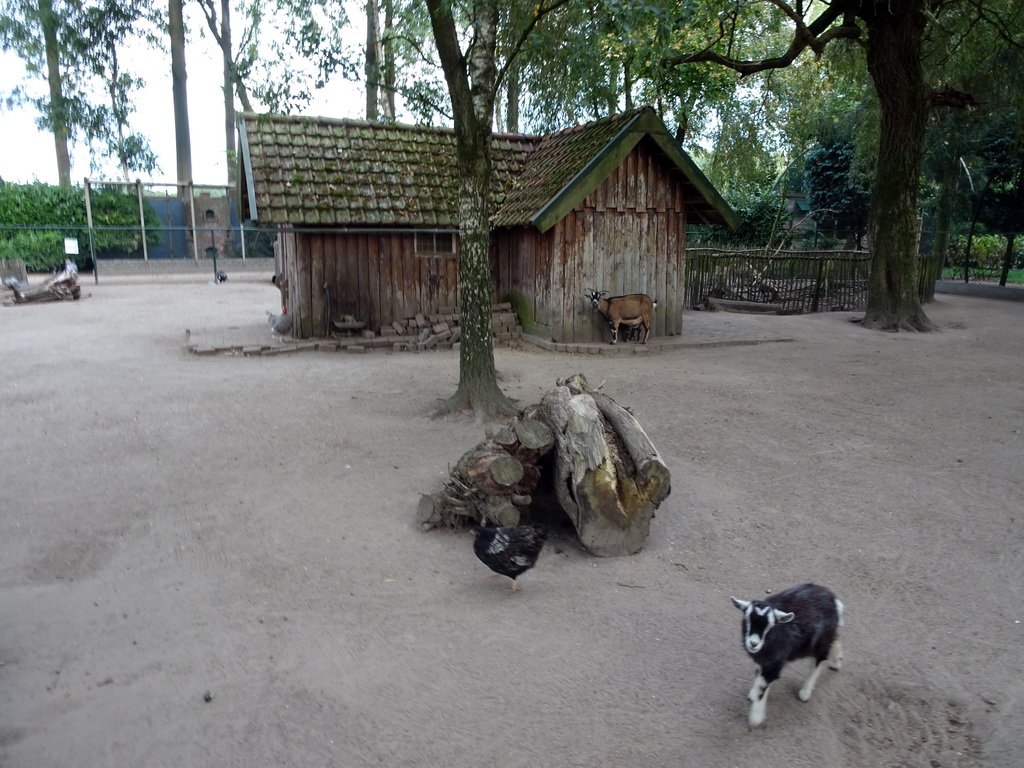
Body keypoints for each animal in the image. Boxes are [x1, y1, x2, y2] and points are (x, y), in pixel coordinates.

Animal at [733, 585, 843, 729]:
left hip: (821, 640)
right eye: (747, 621)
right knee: (836, 638)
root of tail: (833, 599)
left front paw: (755, 719)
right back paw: (836, 661)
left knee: (819, 659)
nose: (753, 643)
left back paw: (805, 692)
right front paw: (754, 693)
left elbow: (763, 685)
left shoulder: (775, 660)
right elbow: (760, 675)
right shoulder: (766, 661)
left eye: (770, 626)